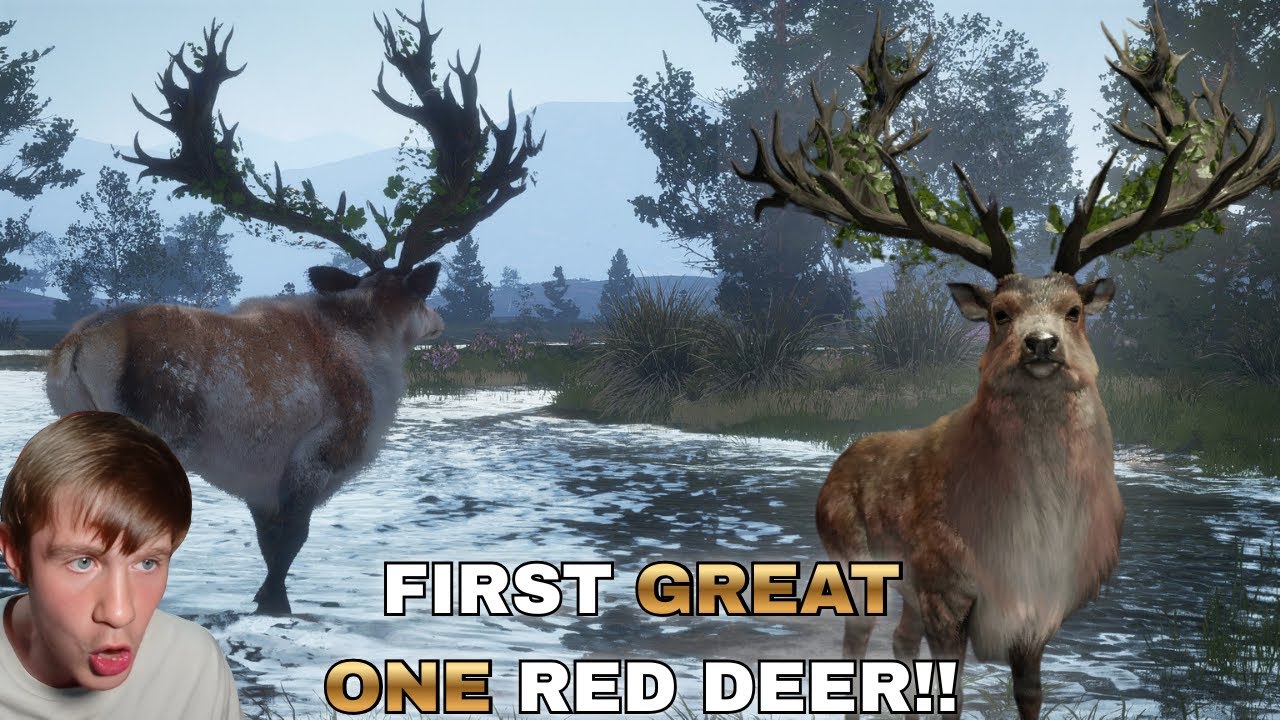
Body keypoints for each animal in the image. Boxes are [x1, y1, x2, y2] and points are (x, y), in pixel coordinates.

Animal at [44, 6, 542, 616]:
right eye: (422, 293)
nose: (440, 320)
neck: (371, 349)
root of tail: (76, 349)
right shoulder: (317, 454)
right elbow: (291, 539)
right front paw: (276, 603)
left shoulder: (258, 476)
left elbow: (268, 538)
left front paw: (263, 599)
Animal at [734, 6, 1280, 719]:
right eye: (1000, 311)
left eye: (1075, 310)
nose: (1040, 343)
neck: (1023, 545)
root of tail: (841, 459)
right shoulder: (943, 585)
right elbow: (949, 689)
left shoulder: (1041, 614)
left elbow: (1029, 695)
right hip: (854, 555)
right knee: (858, 641)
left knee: (898, 644)